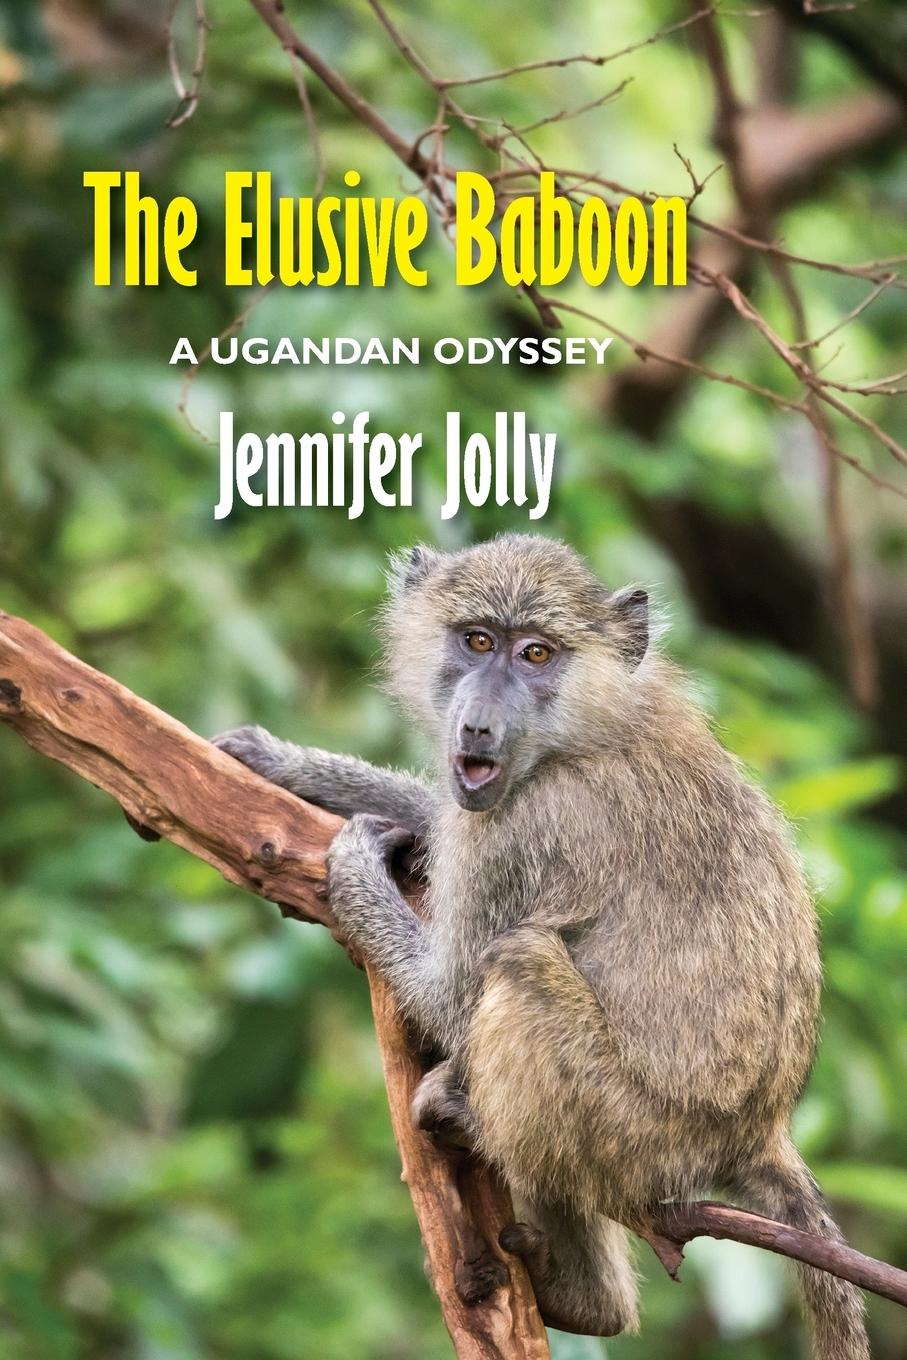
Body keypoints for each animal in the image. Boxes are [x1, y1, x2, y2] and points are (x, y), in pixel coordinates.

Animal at [214, 533, 869, 1359]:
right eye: (477, 641)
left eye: (535, 653)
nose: (478, 728)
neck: (583, 729)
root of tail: (759, 1133)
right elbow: (438, 816)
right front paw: (291, 764)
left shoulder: (521, 831)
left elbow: (450, 996)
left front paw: (350, 864)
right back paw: (589, 1301)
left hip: (630, 1134)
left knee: (518, 964)